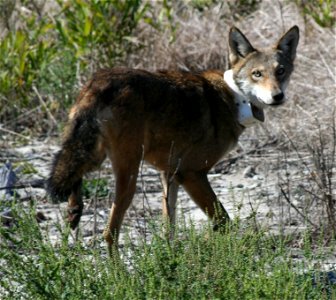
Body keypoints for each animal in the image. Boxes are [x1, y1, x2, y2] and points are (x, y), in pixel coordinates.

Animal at [46, 25, 300, 253]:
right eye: (257, 74)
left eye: (280, 71)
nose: (278, 96)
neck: (235, 98)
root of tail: (98, 81)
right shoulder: (192, 173)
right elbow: (223, 221)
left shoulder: (169, 174)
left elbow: (169, 228)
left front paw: (170, 259)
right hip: (127, 177)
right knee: (109, 233)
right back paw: (116, 274)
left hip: (94, 158)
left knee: (75, 190)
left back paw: (74, 214)